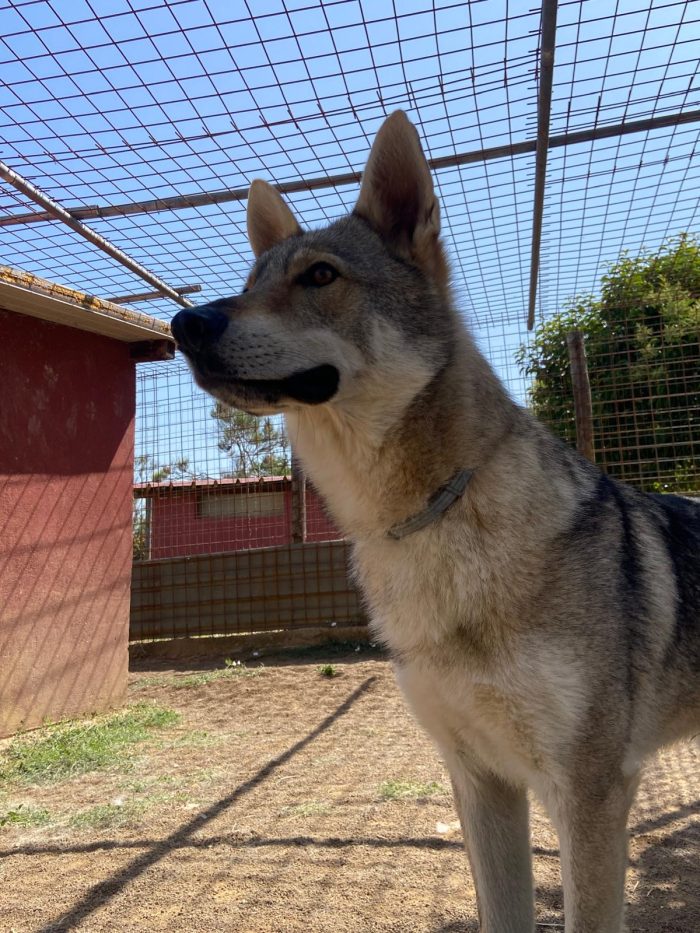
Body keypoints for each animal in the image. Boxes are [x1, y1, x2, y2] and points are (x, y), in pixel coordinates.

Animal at [171, 111, 700, 932]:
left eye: (319, 276)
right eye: (252, 282)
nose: (183, 322)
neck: (427, 520)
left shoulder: (591, 795)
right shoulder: (478, 779)